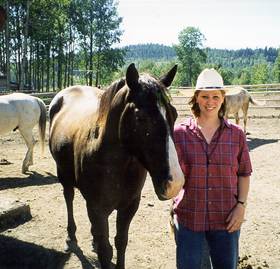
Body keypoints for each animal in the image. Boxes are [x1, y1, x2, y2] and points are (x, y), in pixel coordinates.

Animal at [48, 63, 184, 268]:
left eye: (174, 114)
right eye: (141, 118)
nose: (174, 183)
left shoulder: (129, 206)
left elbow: (121, 241)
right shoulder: (97, 209)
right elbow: (106, 250)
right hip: (64, 175)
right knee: (68, 198)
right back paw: (71, 235)